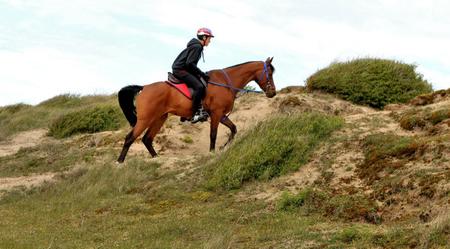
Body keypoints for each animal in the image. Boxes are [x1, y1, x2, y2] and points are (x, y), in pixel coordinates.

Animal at [116, 57, 276, 163]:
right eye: (270, 73)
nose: (273, 93)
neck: (226, 82)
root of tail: (143, 88)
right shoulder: (216, 114)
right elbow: (213, 134)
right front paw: (212, 152)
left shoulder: (222, 115)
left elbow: (233, 129)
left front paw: (224, 147)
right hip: (145, 119)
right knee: (130, 138)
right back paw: (120, 162)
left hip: (160, 118)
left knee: (147, 139)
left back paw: (156, 158)